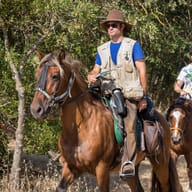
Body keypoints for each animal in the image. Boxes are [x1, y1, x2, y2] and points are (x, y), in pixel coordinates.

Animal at [30, 50, 182, 191]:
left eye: (55, 76)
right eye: (36, 75)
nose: (36, 109)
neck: (81, 127)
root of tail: (162, 119)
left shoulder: (102, 170)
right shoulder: (71, 168)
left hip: (160, 163)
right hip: (131, 171)